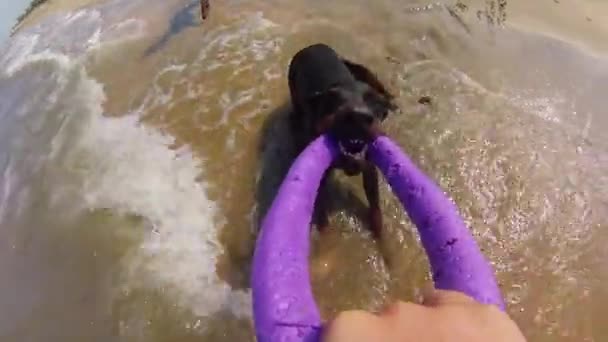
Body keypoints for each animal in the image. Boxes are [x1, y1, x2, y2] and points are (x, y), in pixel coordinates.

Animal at [288, 43, 396, 238]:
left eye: (375, 102)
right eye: (333, 100)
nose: (358, 116)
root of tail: (313, 45)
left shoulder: (369, 167)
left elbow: (375, 206)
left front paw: (380, 236)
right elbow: (321, 206)